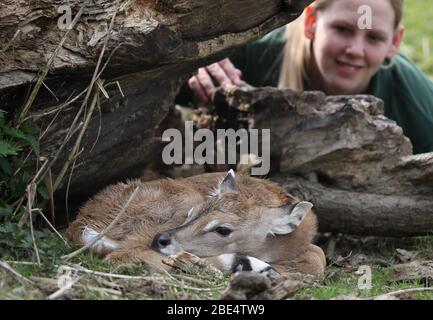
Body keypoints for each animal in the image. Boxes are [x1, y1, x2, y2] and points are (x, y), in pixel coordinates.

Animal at [66, 171, 324, 276]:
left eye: (223, 229)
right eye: (192, 214)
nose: (161, 239)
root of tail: (82, 221)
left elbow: (318, 256)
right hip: (173, 202)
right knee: (123, 255)